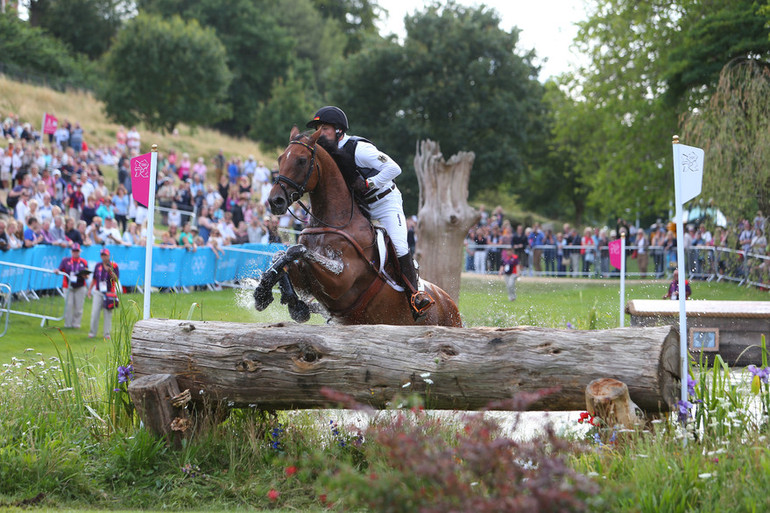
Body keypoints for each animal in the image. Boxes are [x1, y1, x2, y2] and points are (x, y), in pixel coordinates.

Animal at [252, 128, 460, 328]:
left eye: (302, 160)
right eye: (280, 158)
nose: (275, 201)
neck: (333, 221)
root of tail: (450, 302)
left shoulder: (341, 281)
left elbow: (298, 249)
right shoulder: (305, 279)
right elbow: (282, 255)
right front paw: (267, 293)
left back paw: (420, 300)